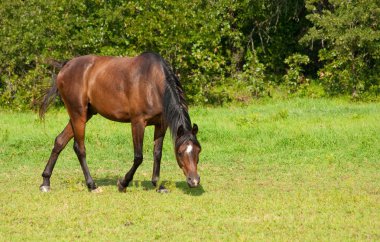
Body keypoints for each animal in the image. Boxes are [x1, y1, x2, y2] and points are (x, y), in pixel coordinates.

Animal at [38, 53, 202, 193]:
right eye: (180, 153)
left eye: (198, 150)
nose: (194, 181)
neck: (153, 83)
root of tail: (66, 66)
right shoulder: (137, 122)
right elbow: (138, 157)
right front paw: (123, 183)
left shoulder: (161, 124)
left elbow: (157, 153)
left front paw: (157, 184)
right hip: (78, 114)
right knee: (80, 148)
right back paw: (92, 185)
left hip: (84, 114)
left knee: (60, 141)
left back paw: (45, 182)